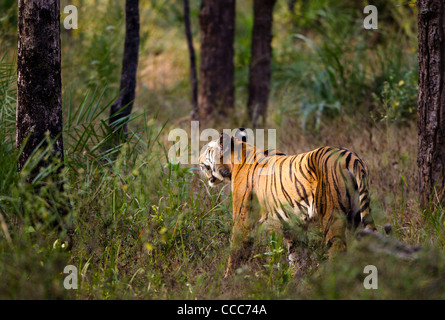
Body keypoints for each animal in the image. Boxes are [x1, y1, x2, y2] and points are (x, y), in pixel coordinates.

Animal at [199, 129, 374, 276]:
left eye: (208, 149)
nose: (198, 159)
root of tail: (351, 156)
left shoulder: (243, 221)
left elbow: (236, 254)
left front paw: (228, 281)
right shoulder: (293, 225)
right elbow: (297, 256)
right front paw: (295, 282)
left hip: (332, 218)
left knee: (338, 252)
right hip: (357, 218)